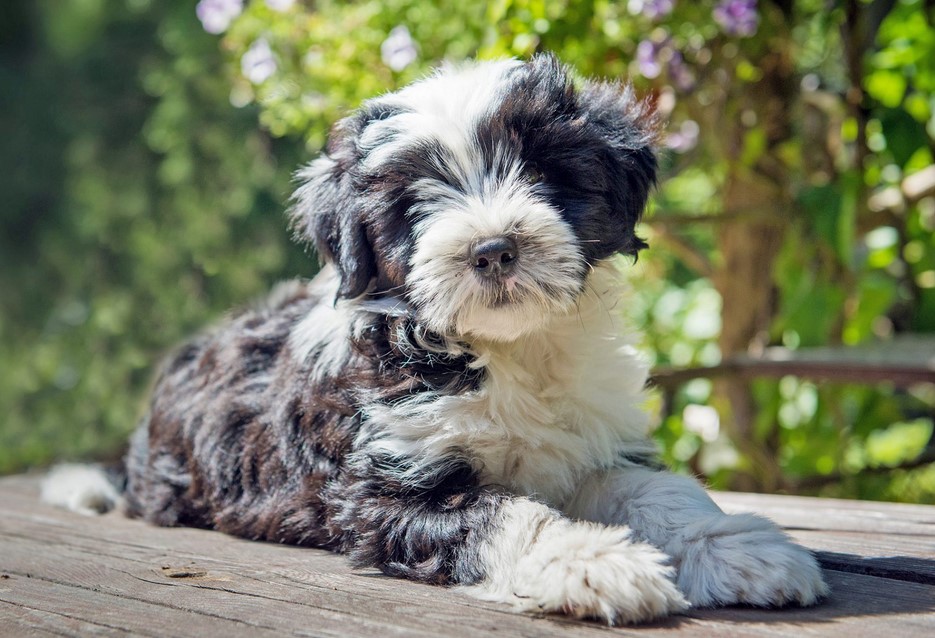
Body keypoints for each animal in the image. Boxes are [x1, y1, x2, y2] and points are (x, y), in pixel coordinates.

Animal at [42, 53, 828, 624]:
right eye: (412, 202)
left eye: (544, 169)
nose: (492, 249)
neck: (506, 351)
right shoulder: (385, 489)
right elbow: (503, 514)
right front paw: (595, 563)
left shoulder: (594, 443)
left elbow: (660, 491)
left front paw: (739, 548)